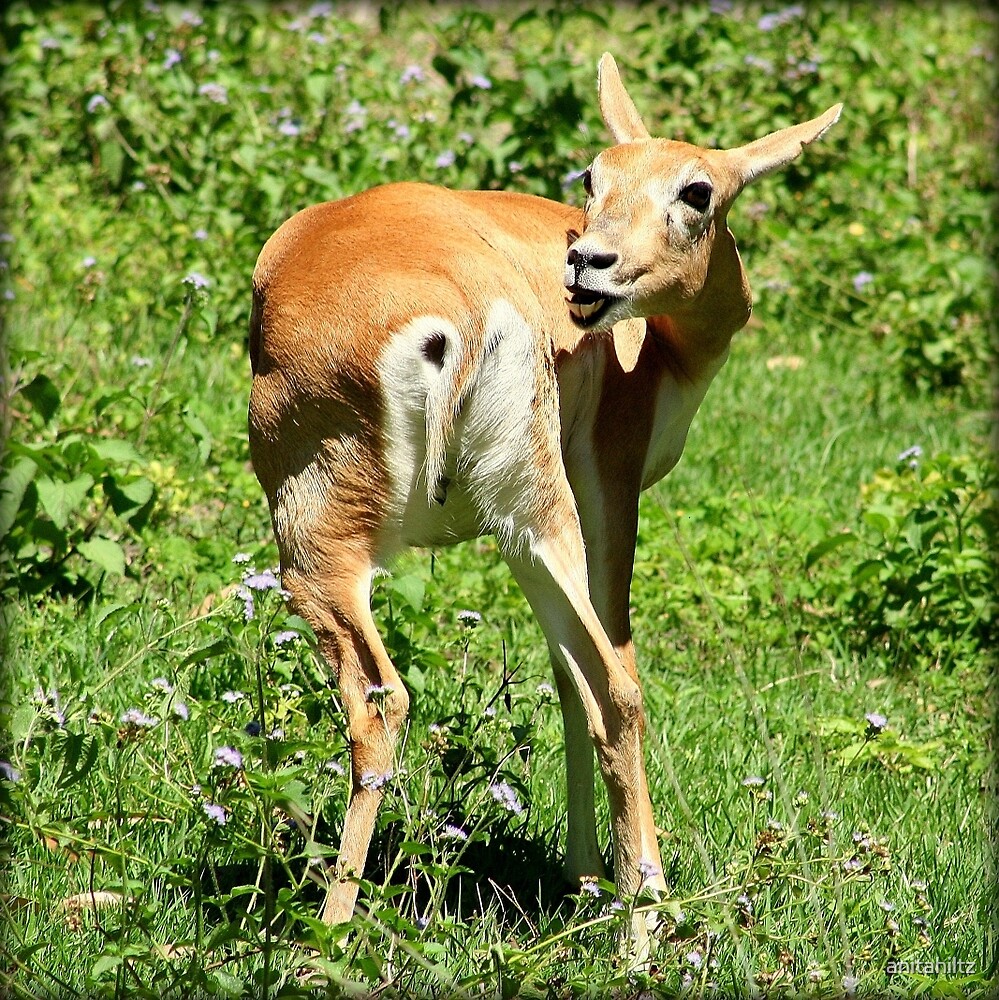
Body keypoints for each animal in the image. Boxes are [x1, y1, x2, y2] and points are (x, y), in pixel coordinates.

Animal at [248, 52, 841, 956]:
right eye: (592, 174)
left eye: (696, 190)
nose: (588, 262)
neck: (661, 349)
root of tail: (458, 312)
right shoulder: (581, 504)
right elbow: (575, 677)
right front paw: (591, 876)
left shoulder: (600, 493)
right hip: (515, 522)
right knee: (601, 687)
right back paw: (633, 920)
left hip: (346, 548)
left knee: (390, 699)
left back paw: (337, 933)